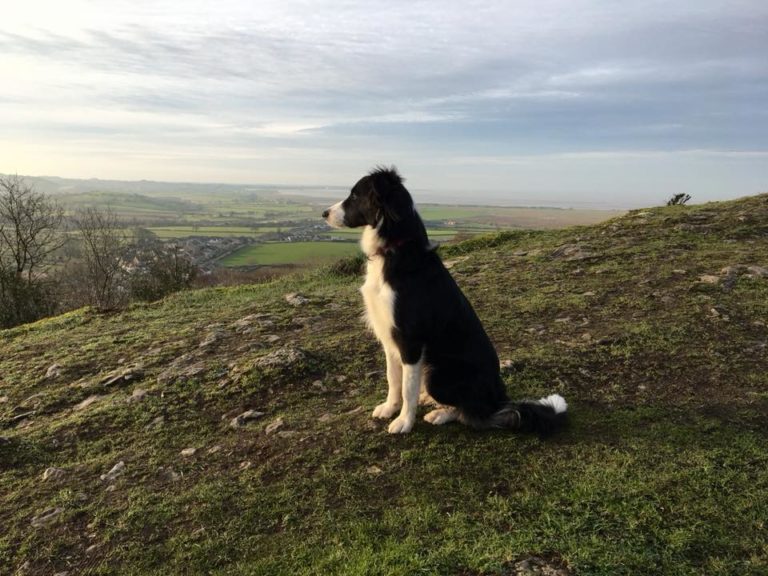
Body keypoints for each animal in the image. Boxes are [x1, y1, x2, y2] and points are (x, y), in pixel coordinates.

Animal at [320, 169, 568, 434]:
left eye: (355, 195)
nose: (324, 213)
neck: (395, 249)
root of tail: (499, 399)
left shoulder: (410, 340)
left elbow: (407, 387)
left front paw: (404, 421)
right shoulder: (389, 336)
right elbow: (393, 378)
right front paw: (389, 408)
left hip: (438, 375)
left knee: (473, 412)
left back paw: (440, 413)